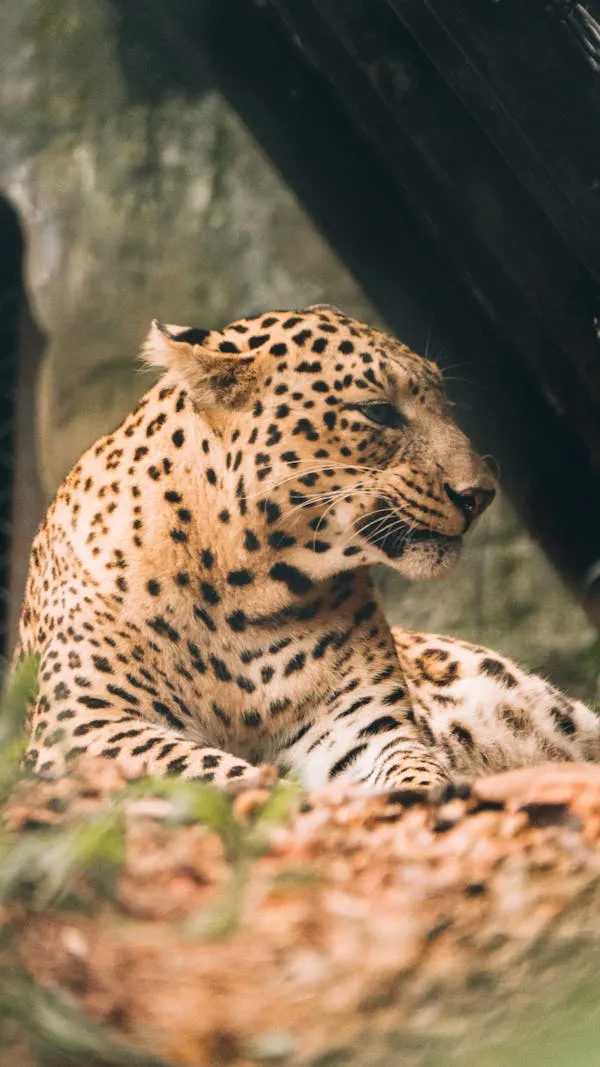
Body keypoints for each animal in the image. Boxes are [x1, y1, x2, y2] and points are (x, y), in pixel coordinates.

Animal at [15, 304, 600, 794]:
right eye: (379, 412)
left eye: (446, 405)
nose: (480, 494)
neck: (240, 589)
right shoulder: (84, 726)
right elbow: (205, 767)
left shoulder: (355, 724)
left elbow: (407, 764)